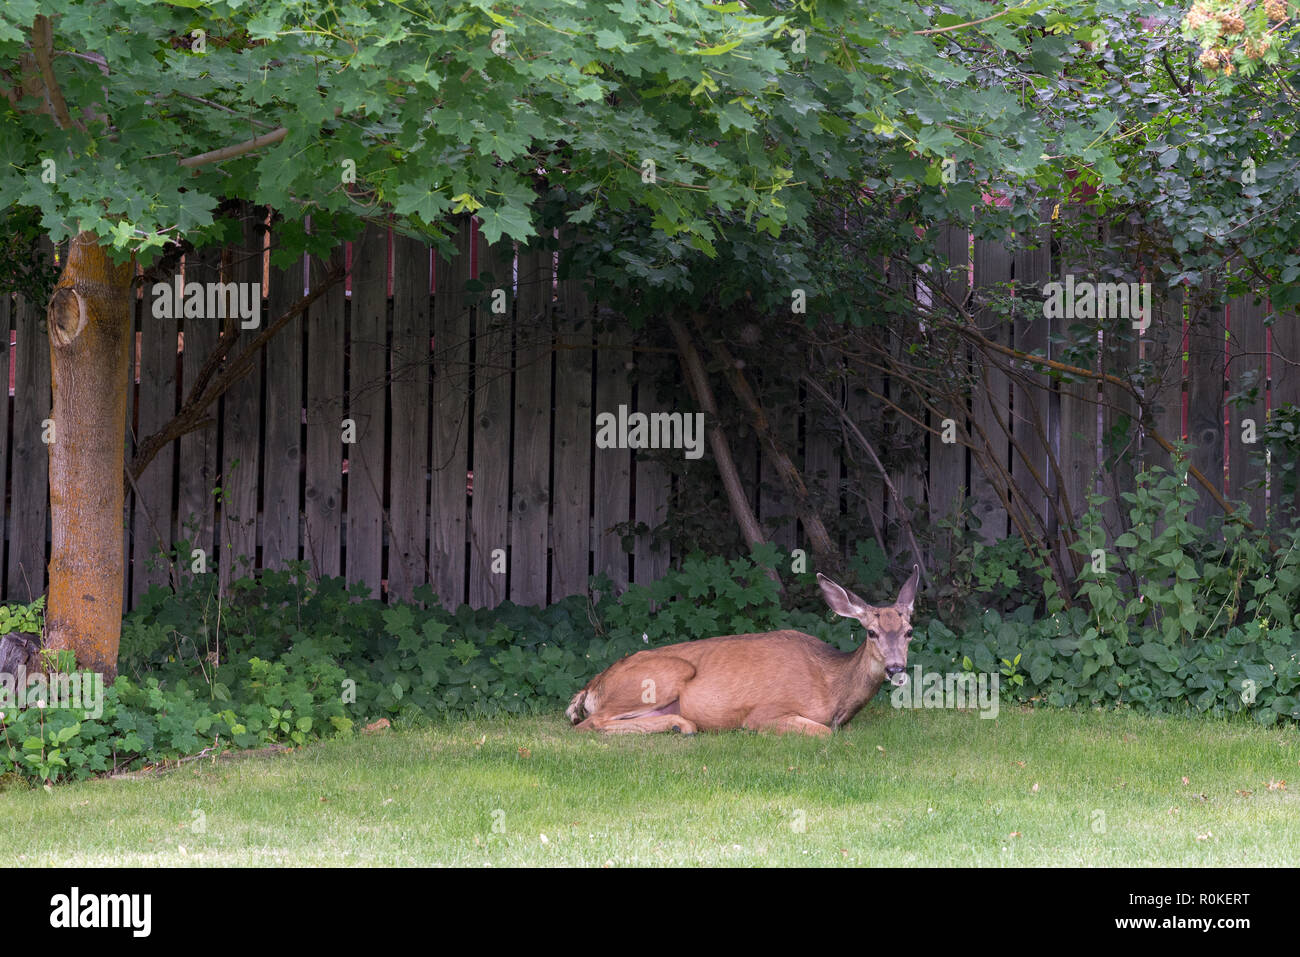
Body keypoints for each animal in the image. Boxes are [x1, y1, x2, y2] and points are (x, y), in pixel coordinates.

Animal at [566, 565, 921, 737]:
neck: (833, 688)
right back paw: (682, 726)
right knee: (589, 723)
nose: (896, 668)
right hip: (668, 672)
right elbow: (823, 733)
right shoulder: (765, 712)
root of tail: (592, 686)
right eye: (872, 632)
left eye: (909, 632)